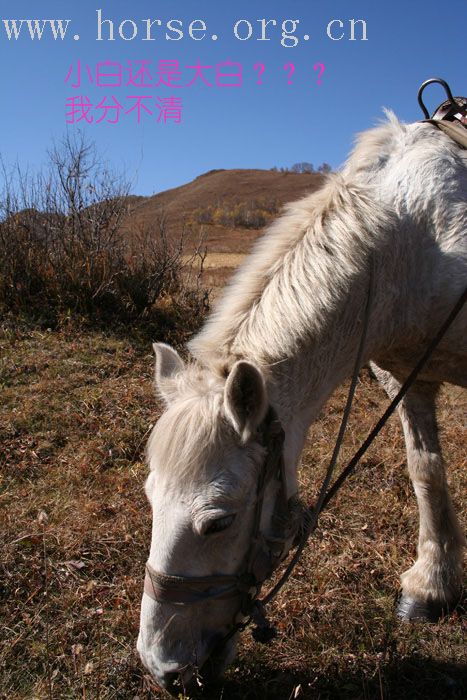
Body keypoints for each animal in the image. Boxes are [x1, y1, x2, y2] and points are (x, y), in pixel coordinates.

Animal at [137, 112, 466, 692]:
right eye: (151, 500)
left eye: (218, 523)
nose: (162, 668)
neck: (415, 242)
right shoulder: (404, 376)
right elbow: (426, 470)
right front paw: (433, 586)